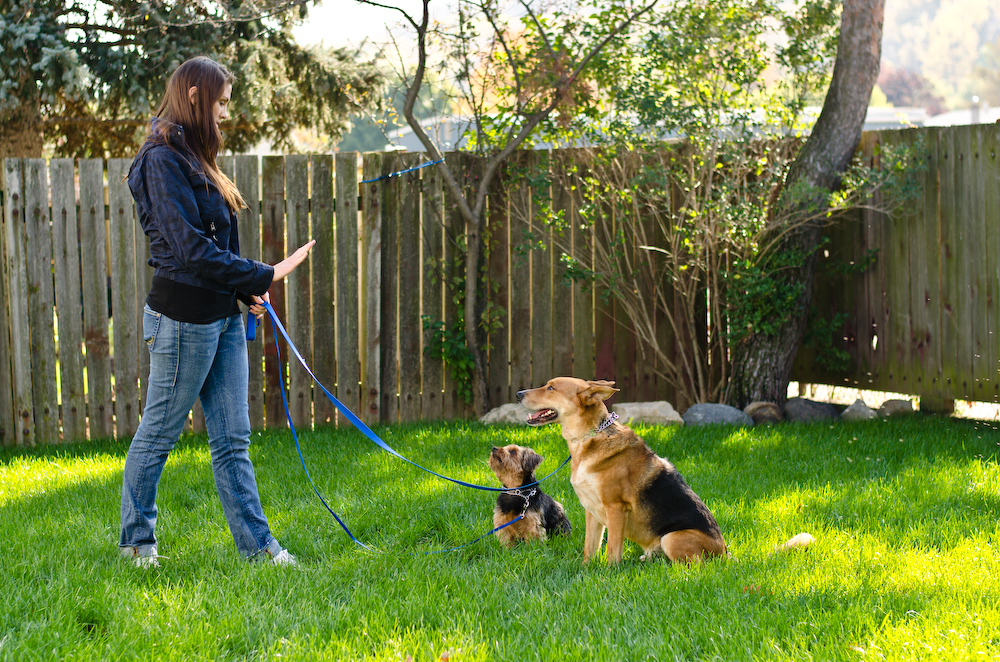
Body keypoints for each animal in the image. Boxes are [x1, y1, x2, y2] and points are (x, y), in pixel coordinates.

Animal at [516, 378, 728, 564]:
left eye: (551, 388)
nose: (518, 394)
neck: (588, 437)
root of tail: (725, 555)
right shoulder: (591, 511)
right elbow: (590, 547)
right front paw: (586, 568)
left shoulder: (616, 508)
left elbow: (612, 549)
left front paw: (610, 572)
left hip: (671, 538)